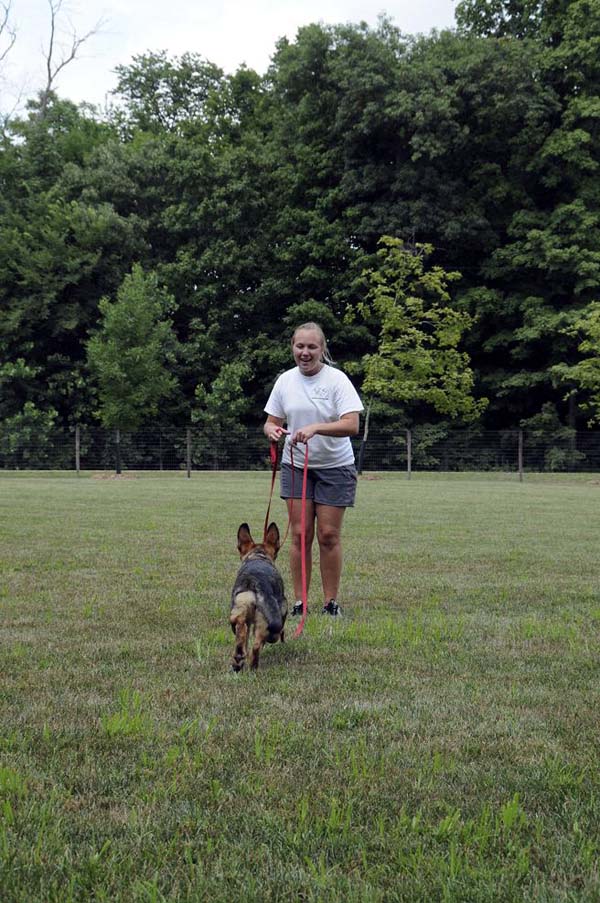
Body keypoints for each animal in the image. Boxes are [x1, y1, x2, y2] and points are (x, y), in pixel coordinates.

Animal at [229, 524, 288, 672]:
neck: (258, 556)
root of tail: (255, 583)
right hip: (267, 619)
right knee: (256, 646)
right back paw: (253, 667)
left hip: (240, 608)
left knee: (241, 628)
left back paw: (239, 659)